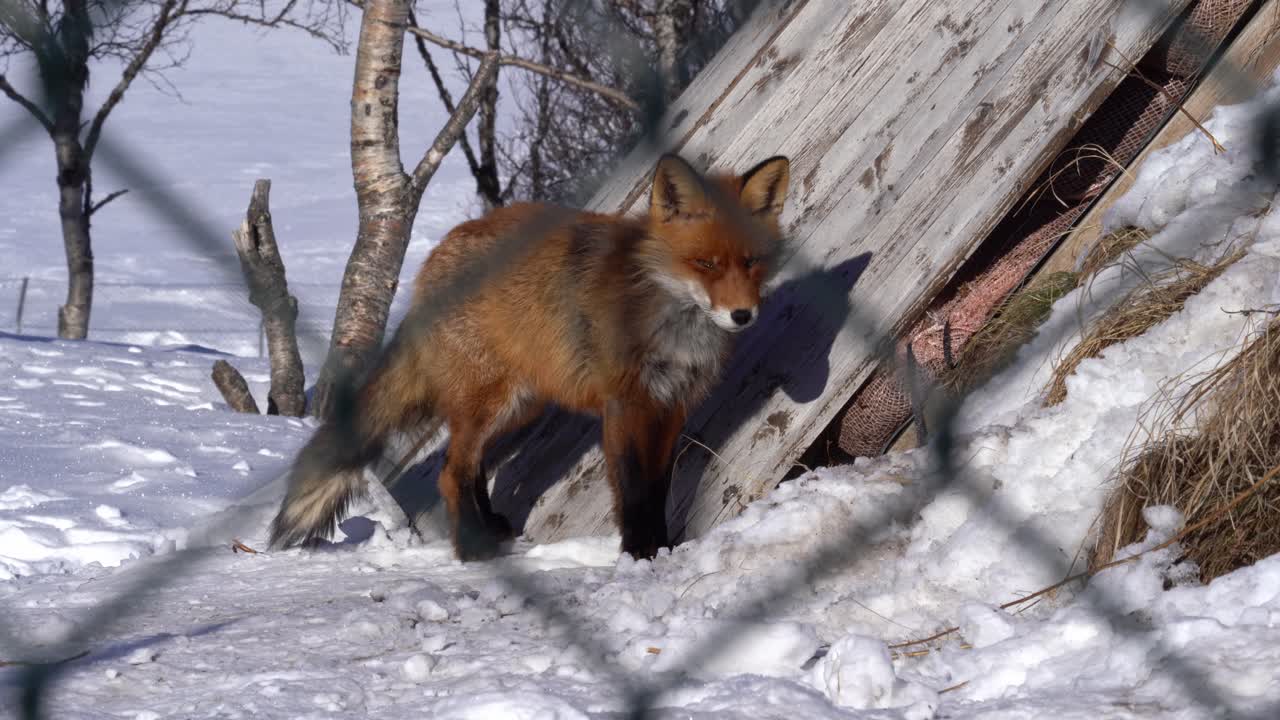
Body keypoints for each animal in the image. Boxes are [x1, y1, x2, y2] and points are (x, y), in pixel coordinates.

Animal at [267, 152, 791, 562]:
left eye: (751, 262)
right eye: (706, 264)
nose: (742, 315)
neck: (672, 322)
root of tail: (436, 257)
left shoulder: (671, 407)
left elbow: (658, 487)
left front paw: (661, 548)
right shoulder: (625, 404)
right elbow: (633, 488)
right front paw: (637, 553)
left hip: (521, 404)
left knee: (471, 465)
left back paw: (491, 527)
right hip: (490, 400)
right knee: (450, 473)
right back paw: (472, 549)